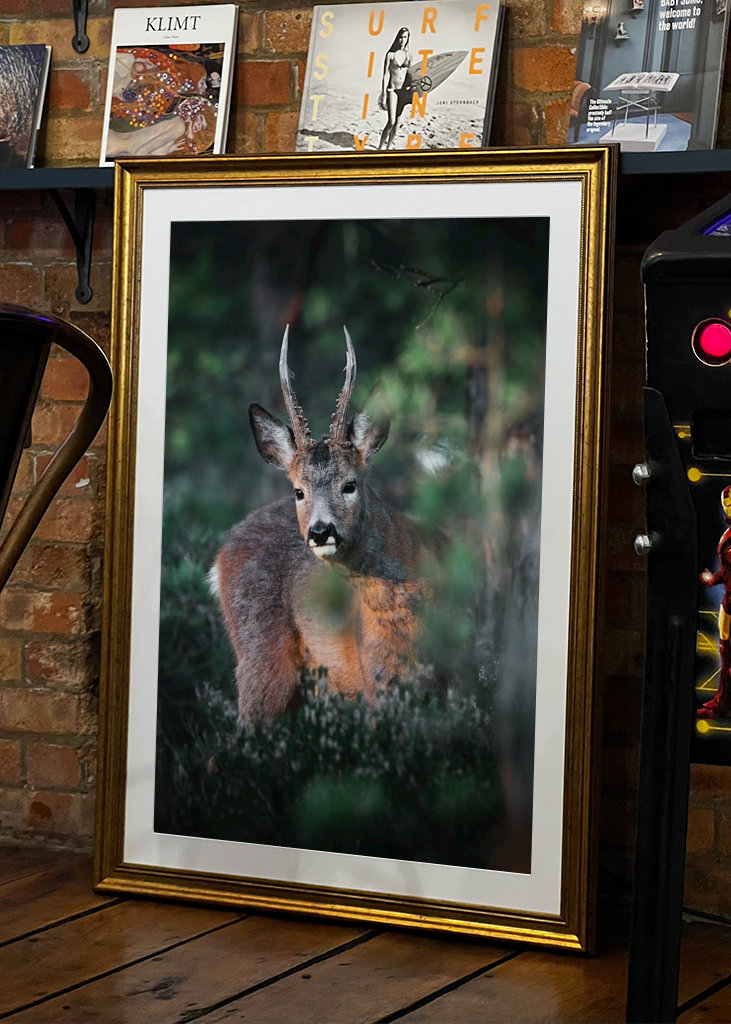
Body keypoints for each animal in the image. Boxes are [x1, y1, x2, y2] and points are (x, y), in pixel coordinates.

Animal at [210, 326, 440, 725]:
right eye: (298, 491)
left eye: (350, 483)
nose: (320, 531)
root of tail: (222, 554)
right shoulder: (375, 683)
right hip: (261, 657)